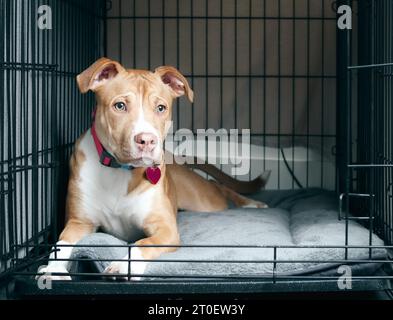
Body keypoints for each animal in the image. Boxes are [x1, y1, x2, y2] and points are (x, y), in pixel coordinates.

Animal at [38, 57, 266, 280]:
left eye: (161, 108)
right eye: (119, 105)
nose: (147, 140)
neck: (120, 171)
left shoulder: (165, 229)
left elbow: (142, 243)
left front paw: (123, 266)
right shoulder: (78, 223)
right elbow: (60, 245)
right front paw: (52, 270)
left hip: (204, 200)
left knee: (218, 187)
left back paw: (253, 204)